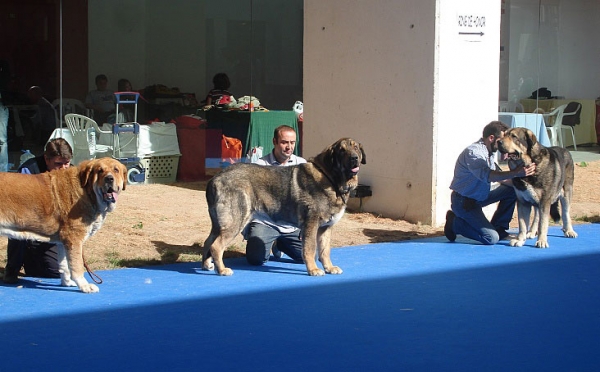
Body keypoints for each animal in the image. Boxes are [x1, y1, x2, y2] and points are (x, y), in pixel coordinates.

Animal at [0, 157, 126, 294]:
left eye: (116, 170)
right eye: (100, 171)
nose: (109, 179)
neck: (87, 191)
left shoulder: (64, 242)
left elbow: (64, 265)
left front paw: (67, 283)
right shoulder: (74, 239)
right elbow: (77, 266)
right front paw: (85, 286)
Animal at [204, 137, 366, 276]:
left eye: (356, 148)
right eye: (341, 151)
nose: (354, 158)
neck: (330, 178)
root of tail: (215, 179)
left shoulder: (325, 228)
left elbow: (325, 251)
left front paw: (329, 268)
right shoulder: (311, 224)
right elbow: (310, 249)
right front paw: (313, 269)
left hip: (218, 225)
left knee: (208, 242)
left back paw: (207, 266)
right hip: (235, 222)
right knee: (216, 246)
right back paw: (222, 270)